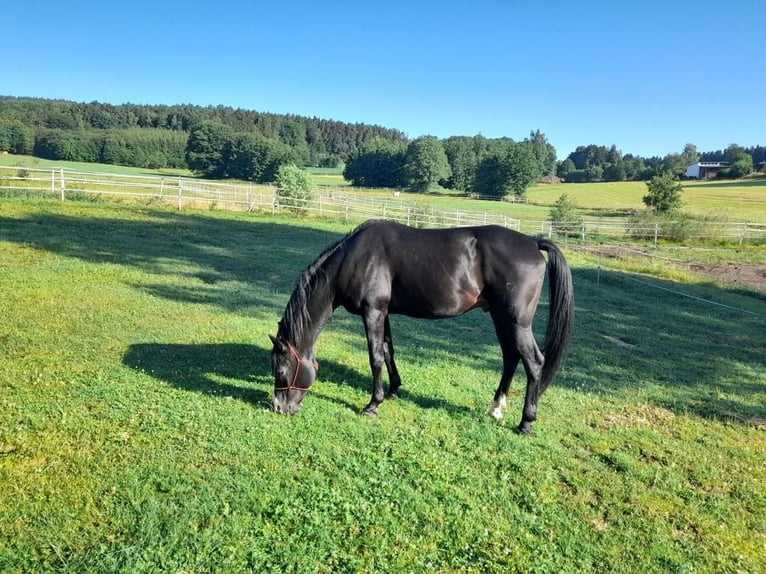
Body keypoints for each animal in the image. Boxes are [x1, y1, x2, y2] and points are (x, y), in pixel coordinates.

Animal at [272, 220, 576, 436]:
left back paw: (525, 423)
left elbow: (375, 357)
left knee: (534, 363)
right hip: (501, 318)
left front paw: (373, 404)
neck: (354, 259)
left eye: (281, 370)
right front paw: (394, 390)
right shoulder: (384, 313)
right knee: (511, 357)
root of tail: (533, 242)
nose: (277, 407)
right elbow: (388, 351)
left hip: (516, 322)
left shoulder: (373, 312)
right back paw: (495, 408)